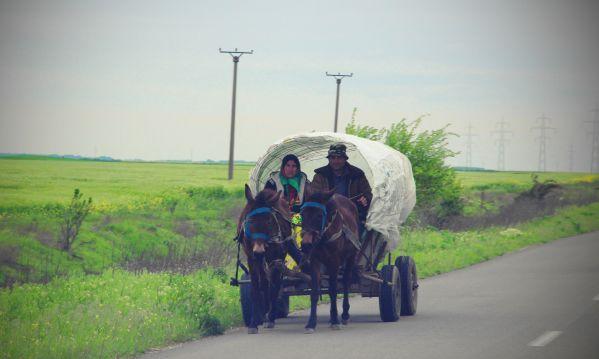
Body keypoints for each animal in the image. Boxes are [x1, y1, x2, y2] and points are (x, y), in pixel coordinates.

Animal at [240, 186, 294, 334]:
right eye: (250, 221)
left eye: (269, 221)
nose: (259, 251)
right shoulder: (252, 258)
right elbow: (255, 288)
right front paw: (254, 323)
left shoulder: (275, 258)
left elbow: (274, 287)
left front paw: (270, 317)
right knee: (264, 282)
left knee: (275, 283)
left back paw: (270, 315)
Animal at [302, 187, 358, 334]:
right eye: (302, 214)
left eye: (319, 215)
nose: (306, 245)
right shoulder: (314, 260)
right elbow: (314, 291)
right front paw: (311, 323)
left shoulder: (334, 261)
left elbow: (333, 290)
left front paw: (335, 320)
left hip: (351, 256)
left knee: (345, 281)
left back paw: (344, 314)